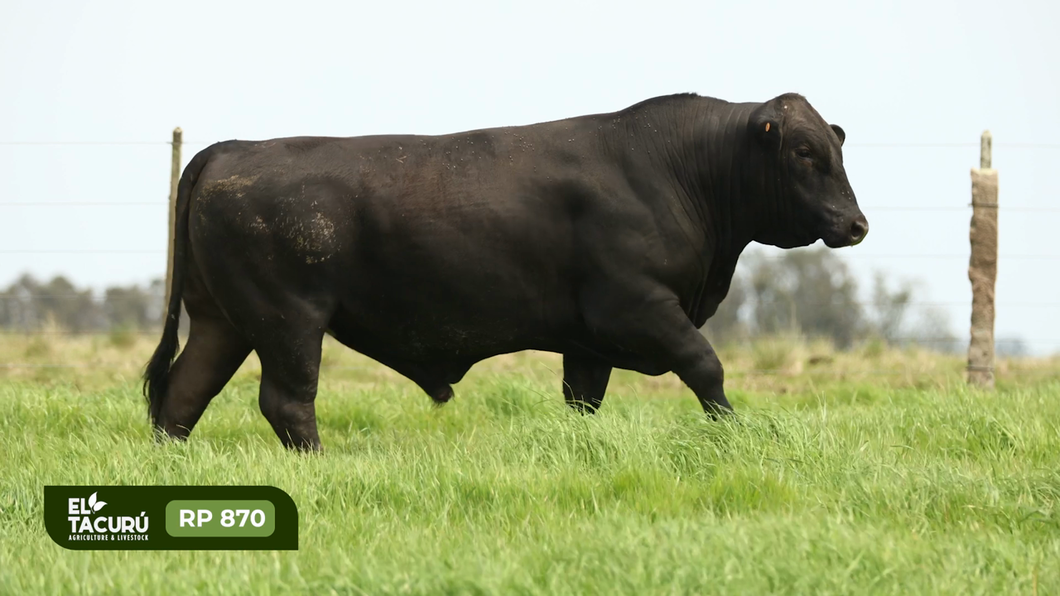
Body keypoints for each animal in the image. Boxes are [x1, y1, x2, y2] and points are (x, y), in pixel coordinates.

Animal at [143, 91, 869, 445]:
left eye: (835, 148)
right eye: (804, 152)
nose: (856, 224)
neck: (679, 169)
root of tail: (233, 148)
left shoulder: (588, 340)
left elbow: (583, 400)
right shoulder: (637, 304)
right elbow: (705, 366)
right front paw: (734, 434)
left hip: (224, 319)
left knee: (181, 395)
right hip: (288, 318)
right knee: (286, 401)